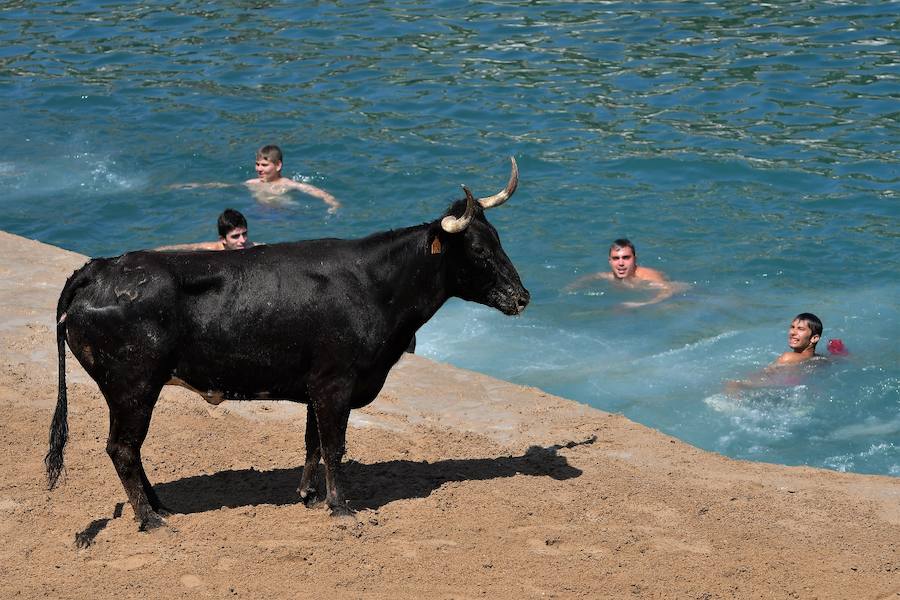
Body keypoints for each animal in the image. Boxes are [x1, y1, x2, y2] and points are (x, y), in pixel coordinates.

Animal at [45, 158, 532, 528]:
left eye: (499, 241)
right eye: (479, 251)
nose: (522, 297)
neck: (374, 284)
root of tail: (99, 269)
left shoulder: (317, 386)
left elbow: (313, 442)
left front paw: (310, 496)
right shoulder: (336, 384)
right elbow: (334, 445)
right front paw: (341, 507)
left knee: (131, 449)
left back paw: (163, 506)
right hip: (132, 388)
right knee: (123, 449)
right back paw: (150, 519)